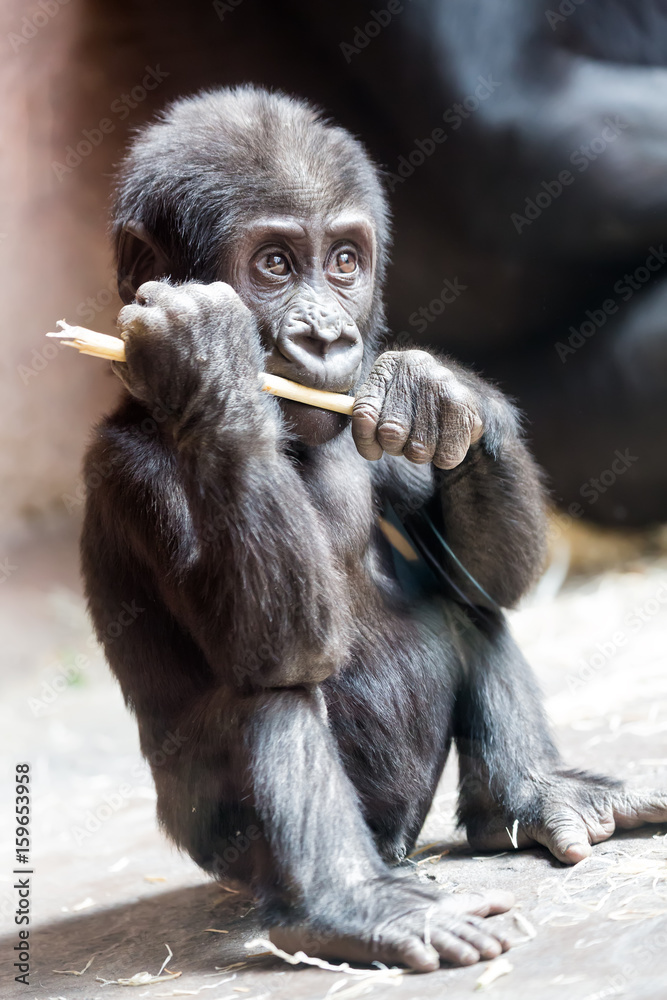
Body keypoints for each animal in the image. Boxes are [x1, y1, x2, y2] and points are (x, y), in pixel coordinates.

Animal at [81, 86, 667, 971]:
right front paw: (207, 362)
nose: (327, 335)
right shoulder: (132, 474)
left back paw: (529, 797)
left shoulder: (369, 429)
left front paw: (446, 392)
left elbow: (486, 571)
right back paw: (350, 908)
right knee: (269, 692)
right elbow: (272, 651)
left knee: (465, 606)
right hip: (222, 854)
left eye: (344, 262)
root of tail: (393, 849)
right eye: (274, 265)